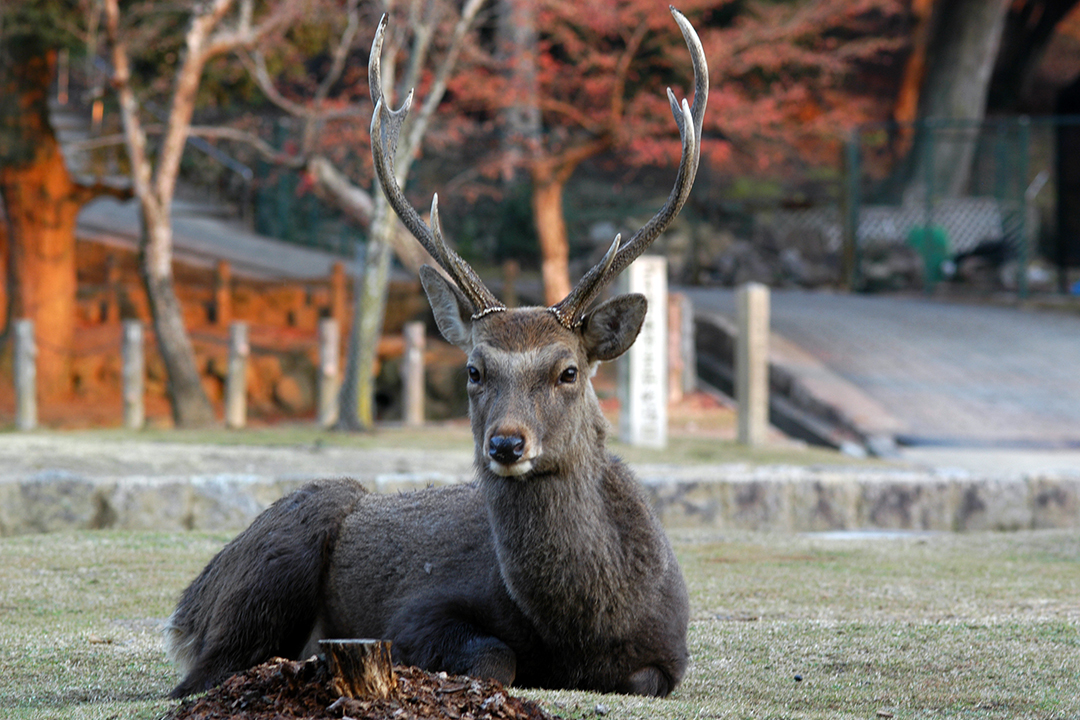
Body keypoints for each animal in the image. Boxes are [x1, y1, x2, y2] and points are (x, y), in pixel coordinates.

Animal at [164, 6, 707, 700]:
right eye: (474, 369)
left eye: (569, 371)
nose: (506, 444)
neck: (579, 630)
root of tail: (187, 605)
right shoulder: (416, 613)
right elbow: (495, 658)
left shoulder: (670, 650)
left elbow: (643, 679)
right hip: (278, 553)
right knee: (203, 675)